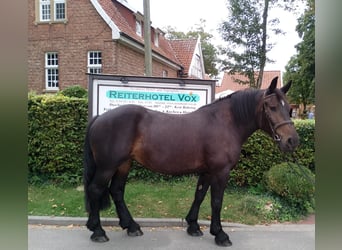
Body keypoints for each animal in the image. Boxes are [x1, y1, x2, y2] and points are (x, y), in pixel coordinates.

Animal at [83, 76, 300, 246]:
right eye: (271, 107)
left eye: (289, 108)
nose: (292, 141)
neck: (226, 123)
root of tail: (100, 117)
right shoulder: (221, 171)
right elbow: (216, 201)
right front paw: (220, 234)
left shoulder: (207, 171)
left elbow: (200, 195)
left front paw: (193, 226)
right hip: (107, 166)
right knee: (95, 189)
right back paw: (98, 231)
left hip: (123, 164)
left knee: (117, 191)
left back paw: (131, 227)